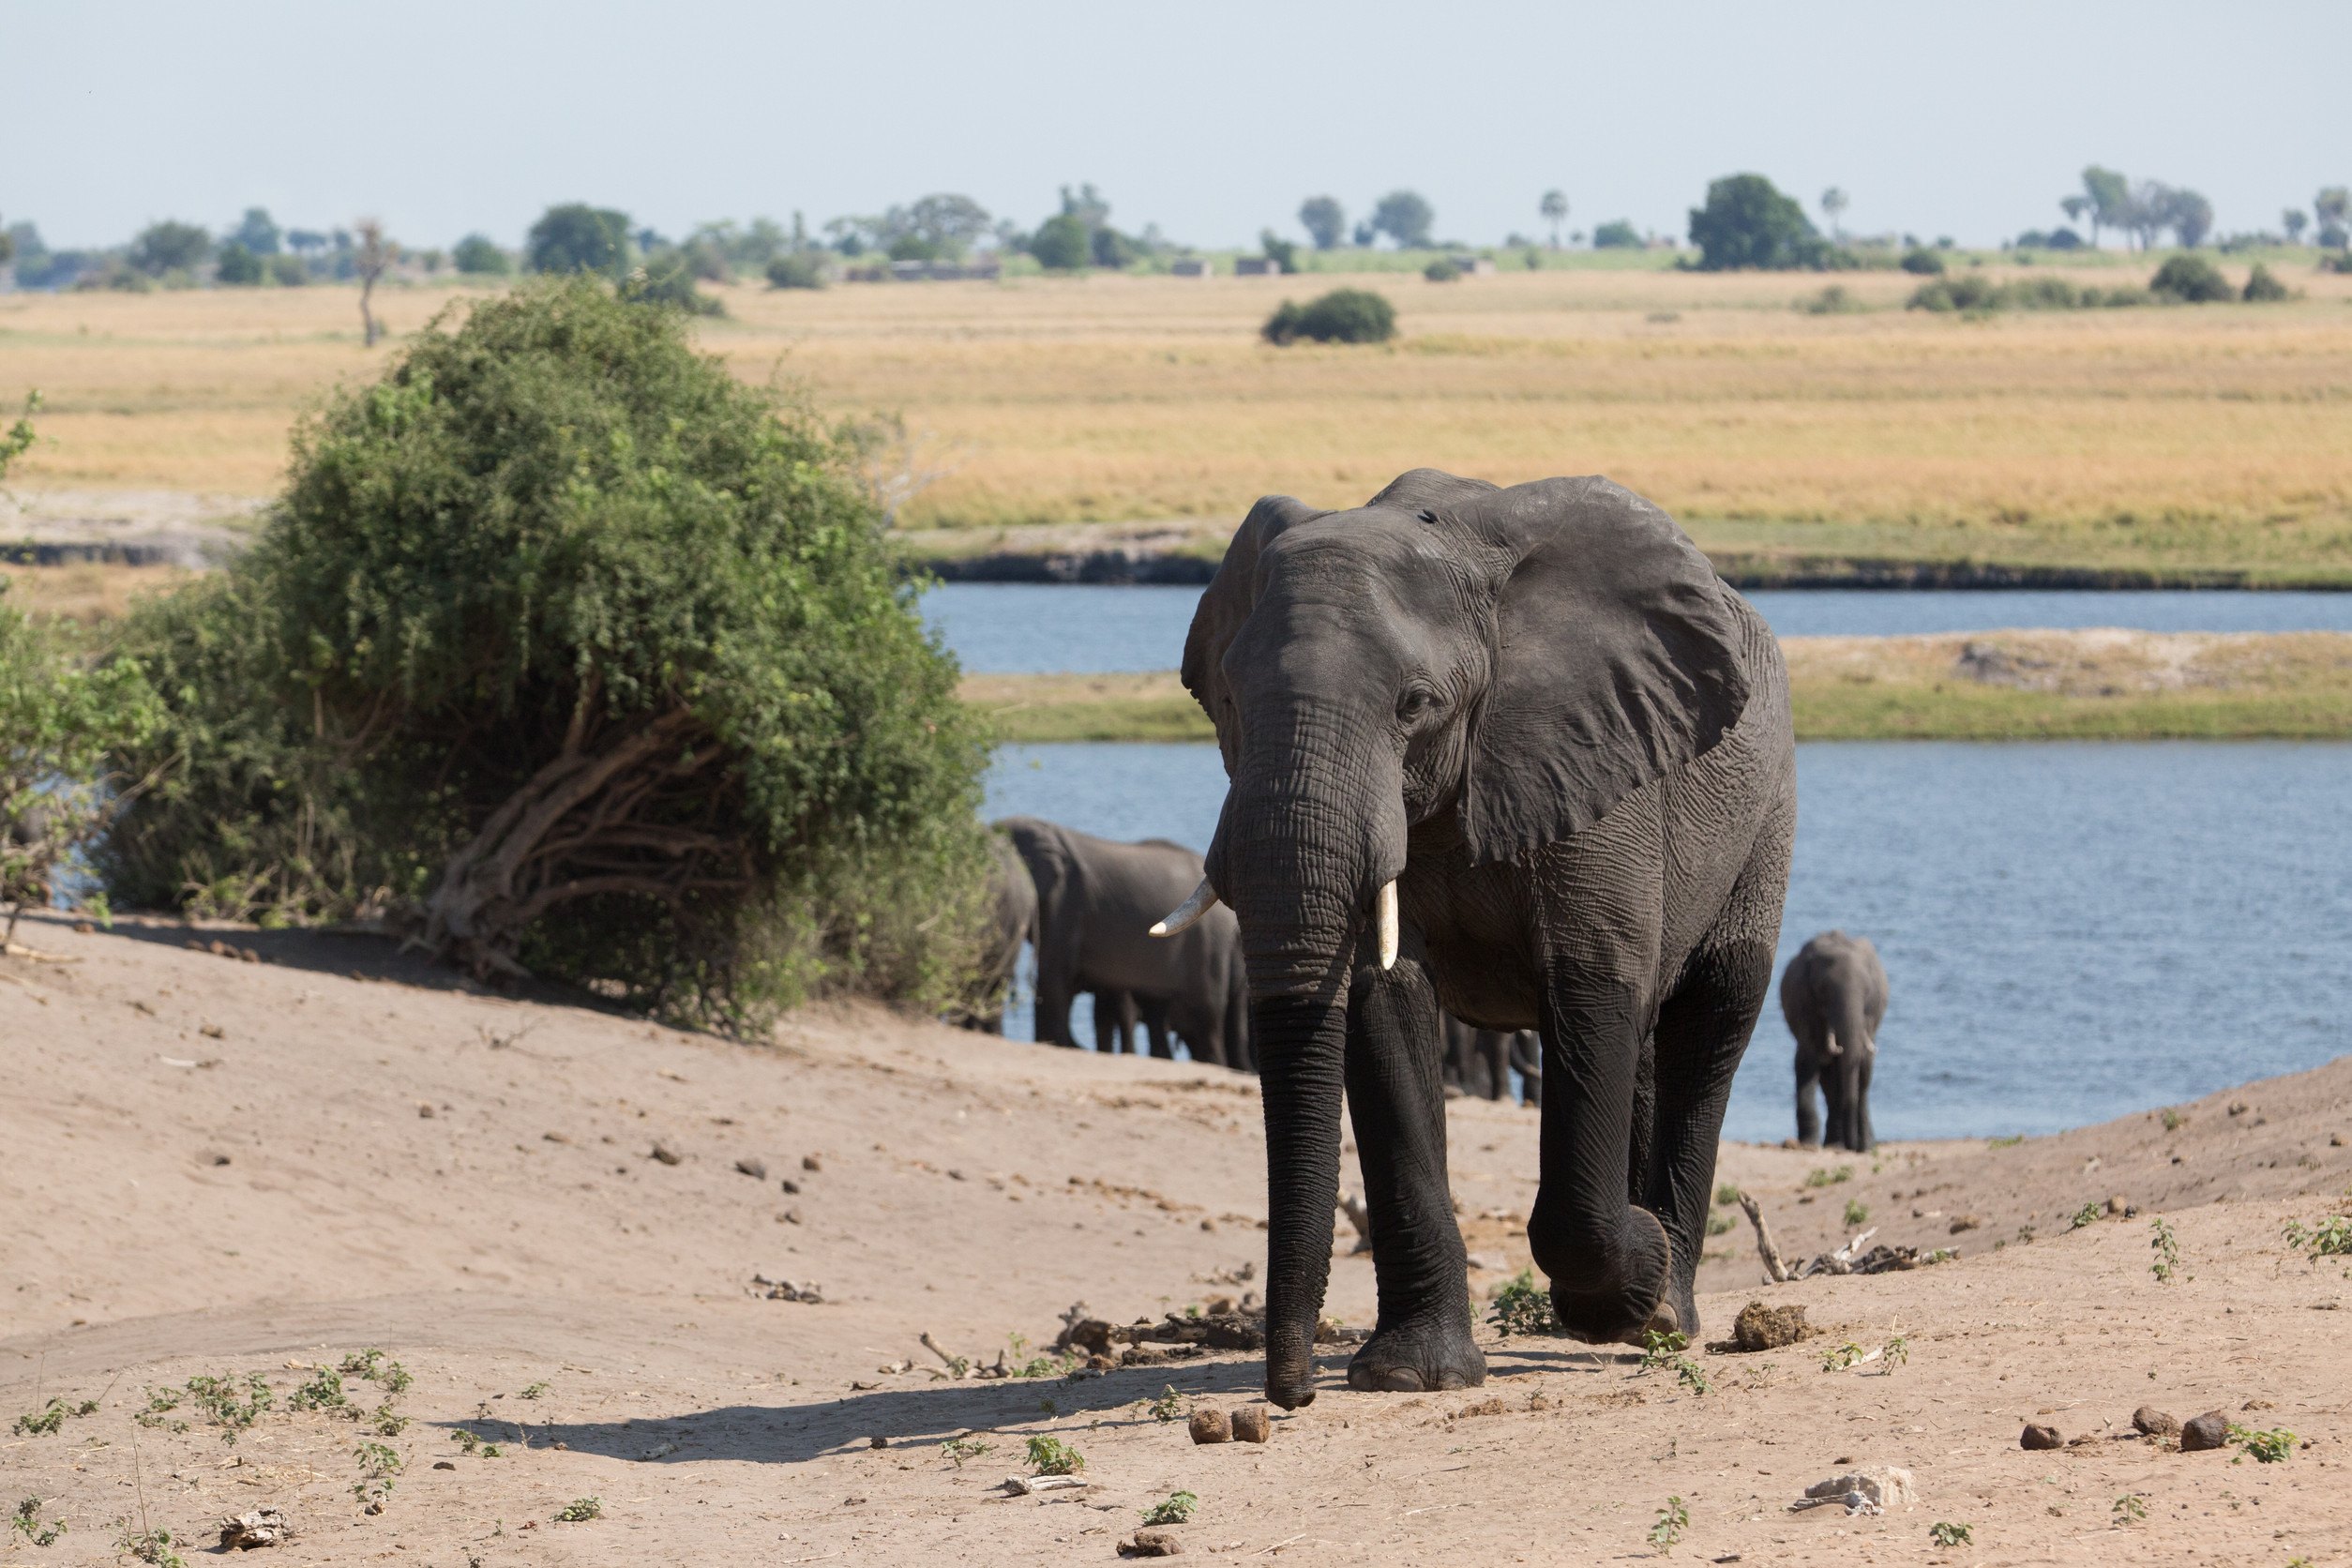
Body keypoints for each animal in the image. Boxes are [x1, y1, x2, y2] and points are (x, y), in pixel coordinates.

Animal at [1161, 470, 1797, 1410]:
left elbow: (1594, 983)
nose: (1291, 1396)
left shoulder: (1600, 758)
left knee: (1710, 1018)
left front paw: (1630, 1275)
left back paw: (1662, 1315)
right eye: (1229, 698)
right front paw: (1411, 1377)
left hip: (1766, 810)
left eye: (1414, 705)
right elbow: (1385, 1006)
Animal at [1778, 930, 1891, 1152]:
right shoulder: (1804, 1003)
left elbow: (1863, 1069)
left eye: (1868, 991)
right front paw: (1808, 1144)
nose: (1853, 1146)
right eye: (1823, 990)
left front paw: (1864, 1147)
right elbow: (1807, 1061)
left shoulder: (1870, 1014)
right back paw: (1835, 1144)